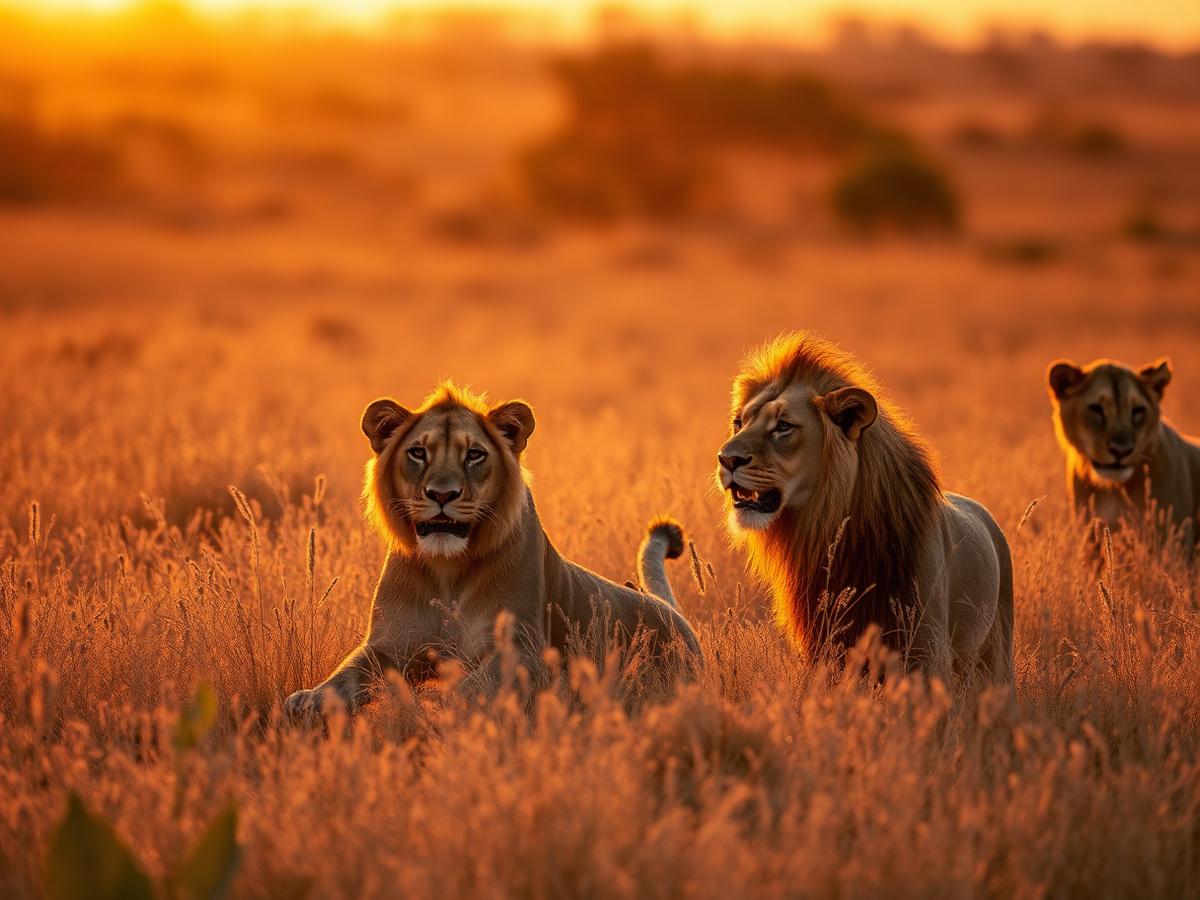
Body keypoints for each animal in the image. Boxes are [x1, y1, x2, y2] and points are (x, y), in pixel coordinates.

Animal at [285, 382, 700, 719]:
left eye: (474, 455)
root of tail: (668, 611)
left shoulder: (525, 651)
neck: (447, 570)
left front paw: (439, 709)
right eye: (418, 453)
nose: (442, 494)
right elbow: (344, 677)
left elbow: (471, 690)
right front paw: (306, 701)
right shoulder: (389, 644)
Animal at [716, 332, 1013, 686]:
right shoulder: (827, 649)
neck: (833, 531)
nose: (726, 459)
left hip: (995, 649)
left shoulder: (927, 650)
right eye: (738, 422)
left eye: (783, 426)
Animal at [1047, 356, 1199, 558]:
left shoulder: (1174, 543)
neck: (1113, 490)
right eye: (1096, 409)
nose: (1121, 450)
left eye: (1138, 410)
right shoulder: (1091, 540)